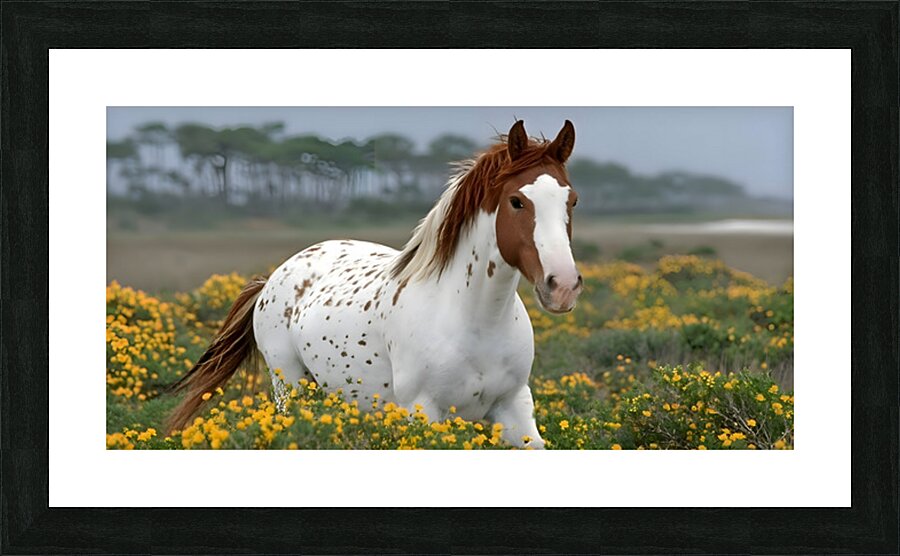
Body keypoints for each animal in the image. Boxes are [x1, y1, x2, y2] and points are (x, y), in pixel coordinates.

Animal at [167, 119, 582, 448]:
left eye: (572, 200)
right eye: (517, 201)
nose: (562, 286)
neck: (476, 320)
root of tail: (272, 279)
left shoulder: (514, 409)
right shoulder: (424, 413)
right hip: (290, 387)